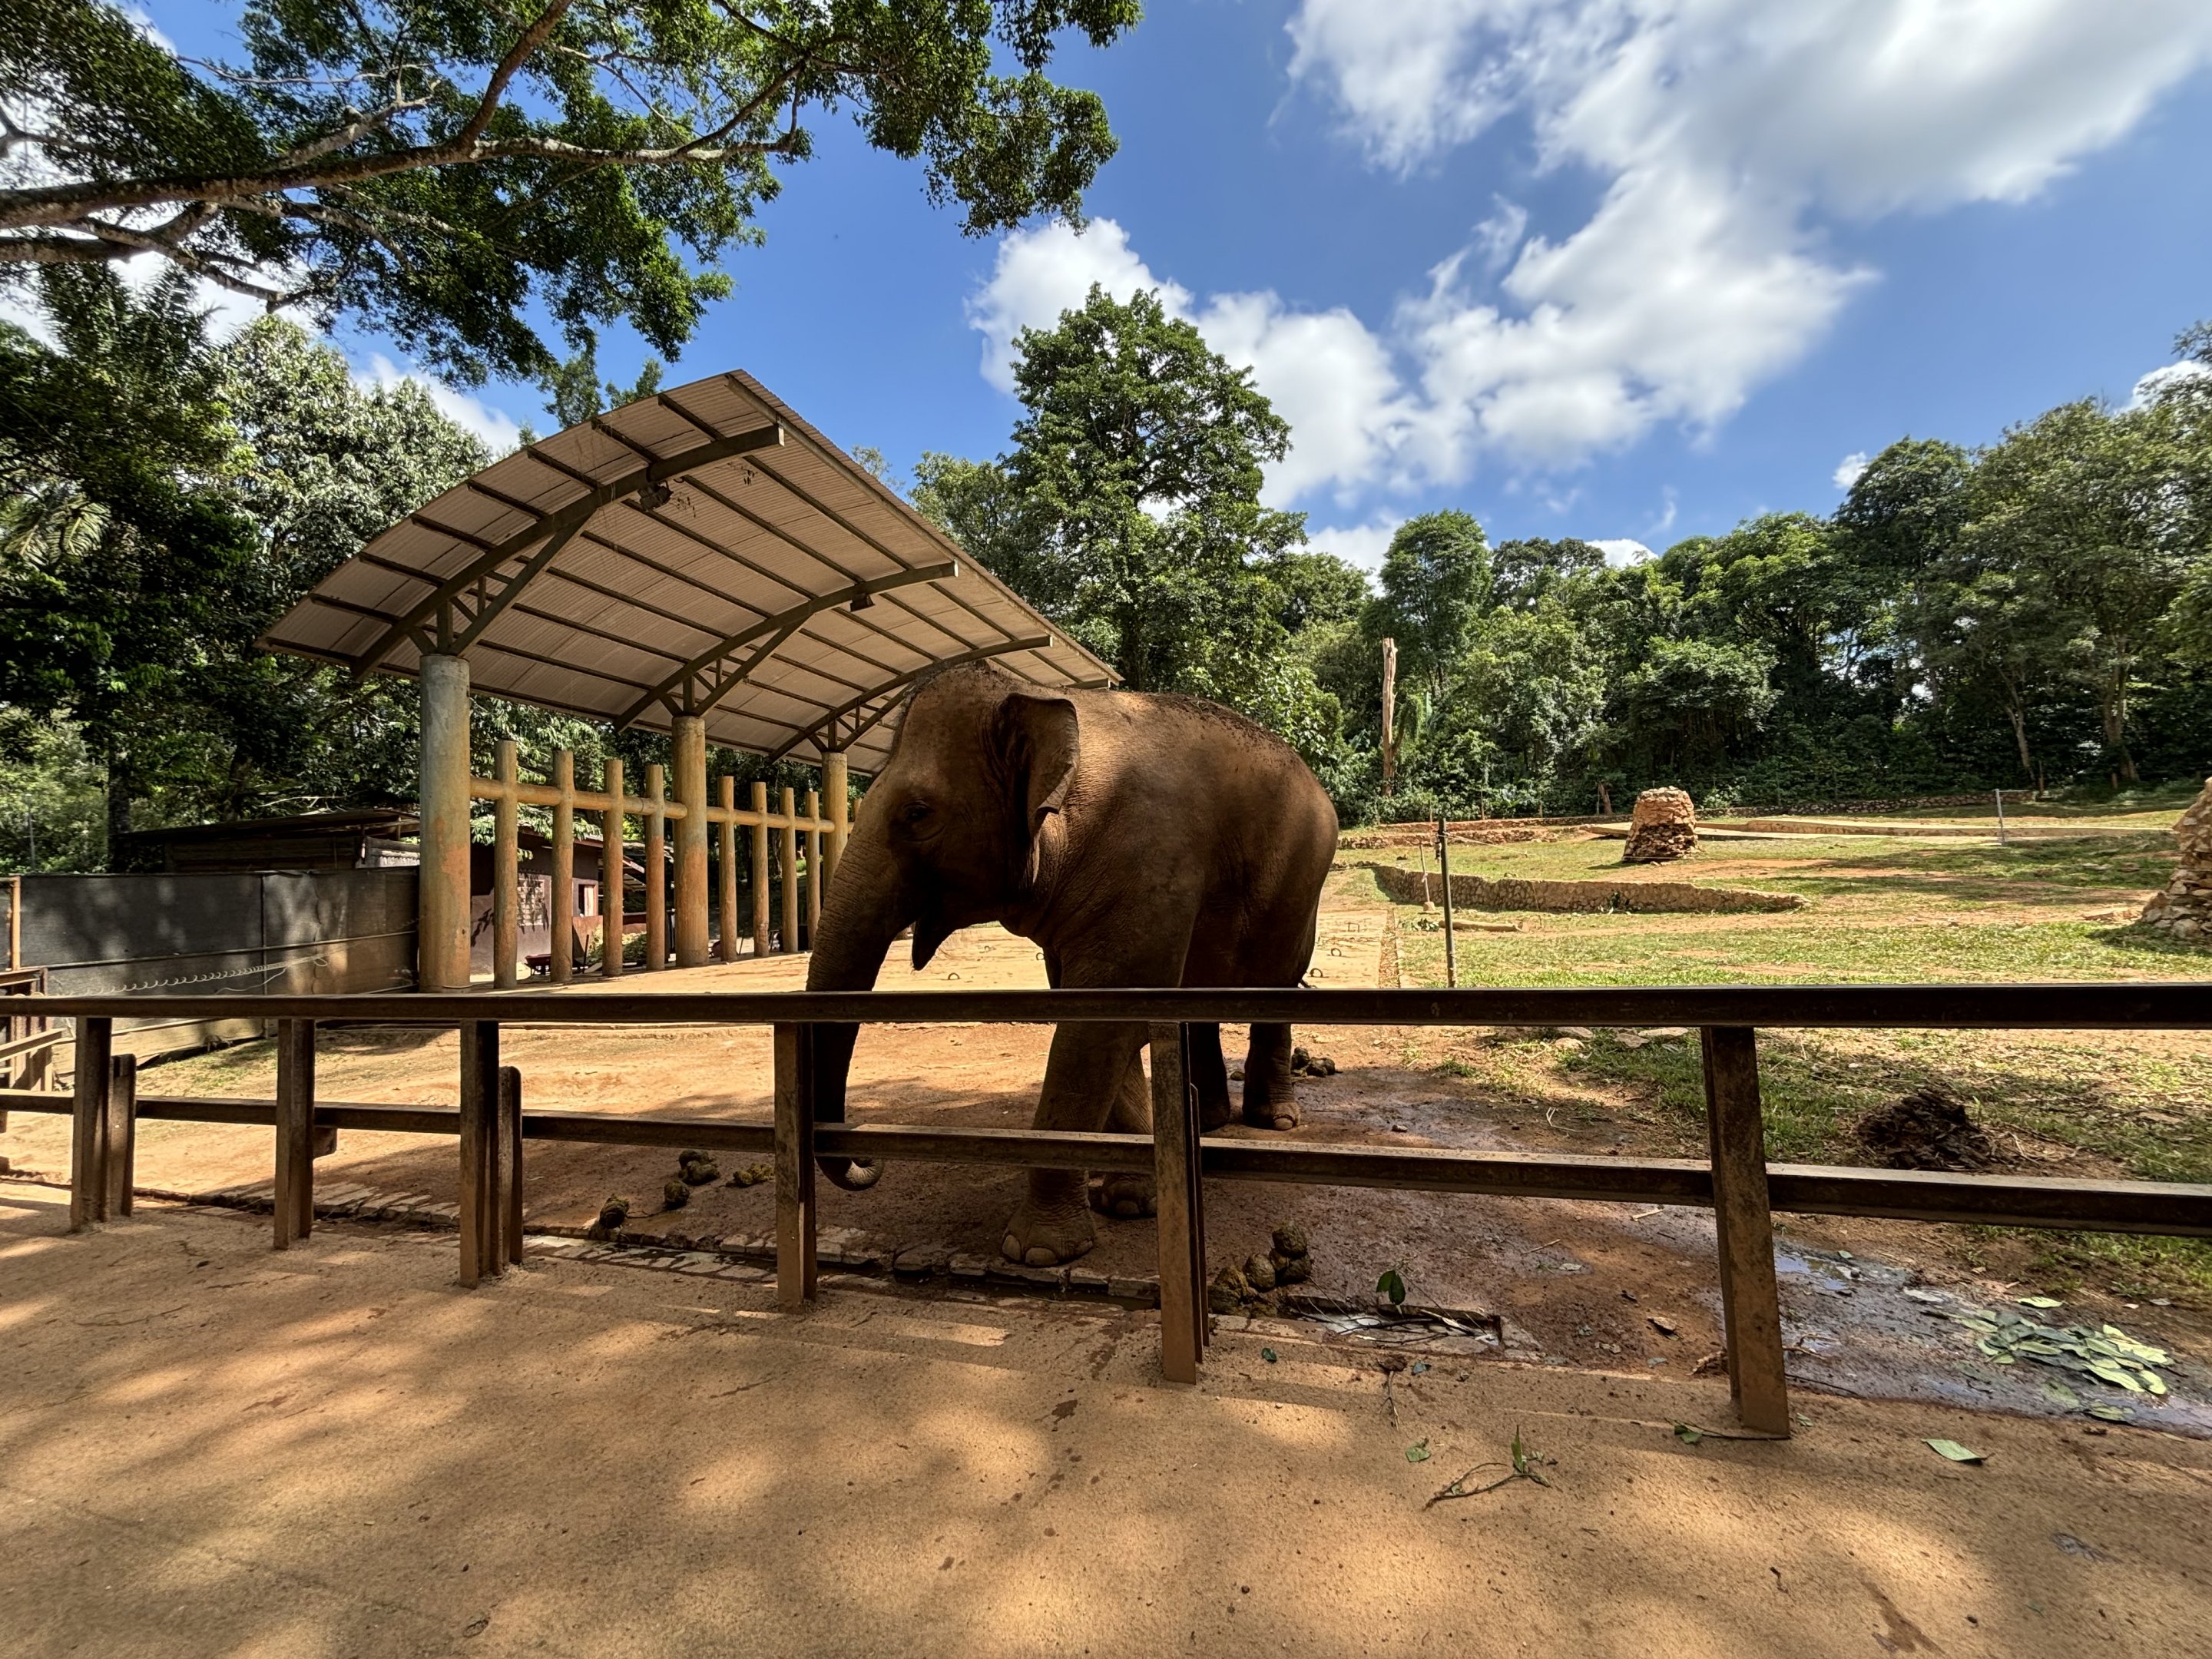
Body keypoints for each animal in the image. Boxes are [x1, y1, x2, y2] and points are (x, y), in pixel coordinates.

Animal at [803, 661, 1340, 1266]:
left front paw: (1037, 1251)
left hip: (1301, 888)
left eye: (917, 814)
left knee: (1277, 987)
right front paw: (1130, 1199)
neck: (1045, 701)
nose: (869, 1162)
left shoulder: (1151, 868)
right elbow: (1100, 1016)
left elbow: (1100, 1024)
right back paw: (1210, 1122)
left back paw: (1275, 1120)